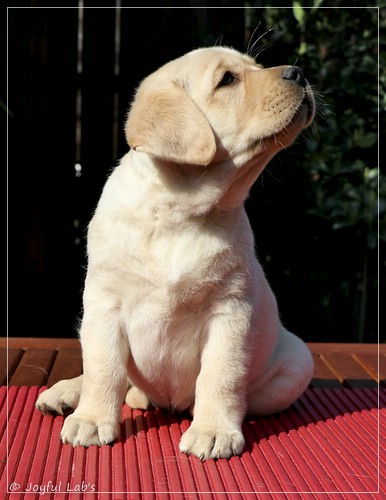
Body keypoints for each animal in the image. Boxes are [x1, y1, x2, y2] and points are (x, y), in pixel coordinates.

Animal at [35, 47, 314, 460]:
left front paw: (213, 429)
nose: (299, 72)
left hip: (297, 363)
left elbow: (221, 374)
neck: (179, 212)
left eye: (257, 66)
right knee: (108, 373)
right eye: (227, 80)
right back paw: (68, 393)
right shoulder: (104, 303)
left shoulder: (231, 309)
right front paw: (92, 418)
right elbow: (104, 367)